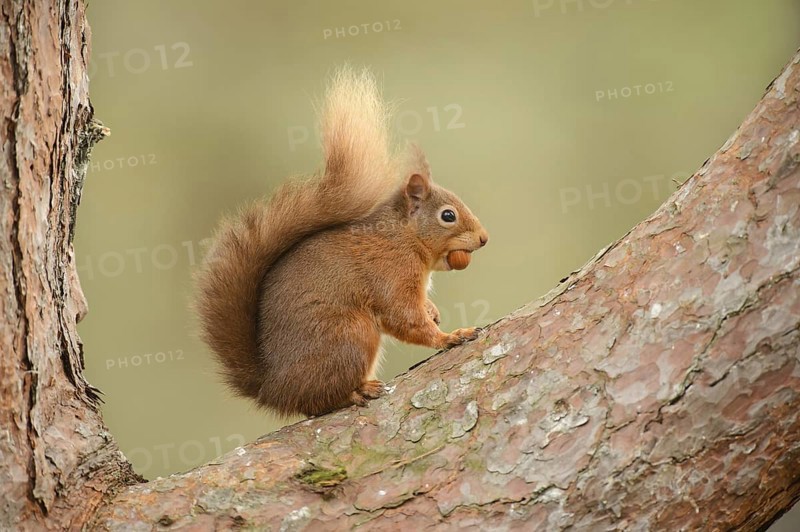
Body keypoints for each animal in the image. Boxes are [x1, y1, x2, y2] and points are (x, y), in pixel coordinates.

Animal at [195, 67, 489, 417]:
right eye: (448, 215)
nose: (484, 238)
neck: (404, 238)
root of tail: (273, 390)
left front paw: (433, 311)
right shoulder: (391, 273)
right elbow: (404, 317)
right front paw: (449, 337)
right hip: (351, 334)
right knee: (321, 400)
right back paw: (357, 392)